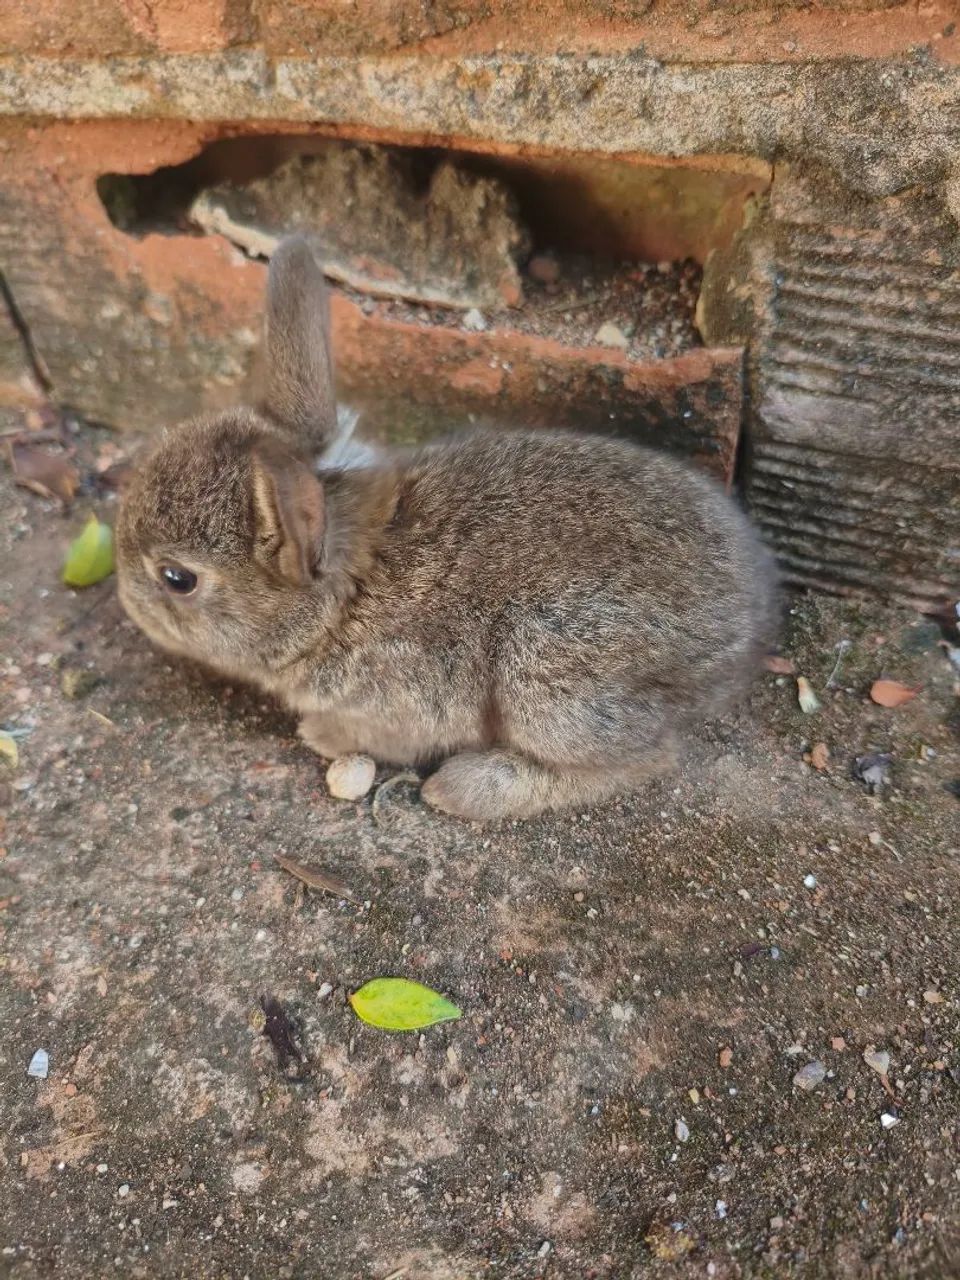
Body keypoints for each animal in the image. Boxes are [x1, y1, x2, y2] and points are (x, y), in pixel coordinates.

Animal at [116, 235, 777, 822]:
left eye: (176, 578)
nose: (124, 598)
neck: (341, 603)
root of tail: (750, 627)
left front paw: (321, 734)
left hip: (550, 675)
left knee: (646, 758)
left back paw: (461, 788)